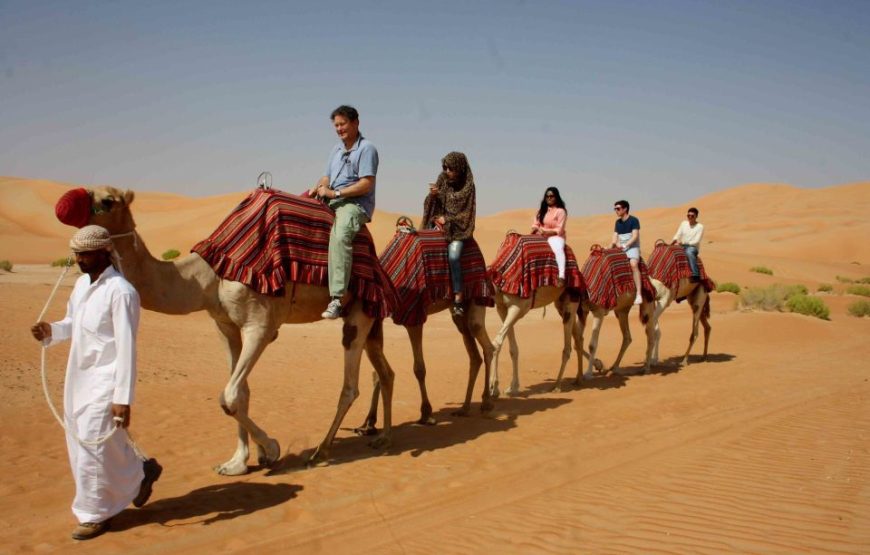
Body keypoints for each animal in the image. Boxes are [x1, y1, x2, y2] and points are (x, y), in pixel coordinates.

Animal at [84, 186, 396, 474]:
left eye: (107, 200)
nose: (72, 207)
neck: (209, 276)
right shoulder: (225, 327)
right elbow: (241, 393)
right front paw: (237, 462)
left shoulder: (260, 326)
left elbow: (229, 396)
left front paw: (271, 449)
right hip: (370, 316)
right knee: (385, 372)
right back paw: (382, 437)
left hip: (358, 312)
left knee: (350, 385)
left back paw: (321, 451)